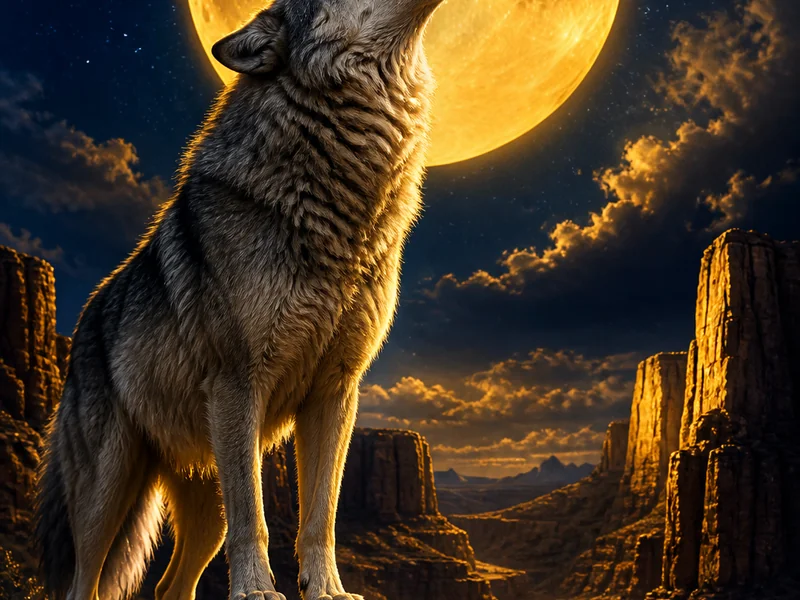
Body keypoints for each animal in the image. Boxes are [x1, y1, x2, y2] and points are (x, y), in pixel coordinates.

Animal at [34, 0, 442, 598]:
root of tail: (86, 316)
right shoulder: (238, 382)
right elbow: (257, 516)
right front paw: (256, 589)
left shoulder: (337, 392)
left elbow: (321, 516)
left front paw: (327, 589)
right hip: (107, 497)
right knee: (83, 582)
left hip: (206, 500)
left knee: (169, 587)